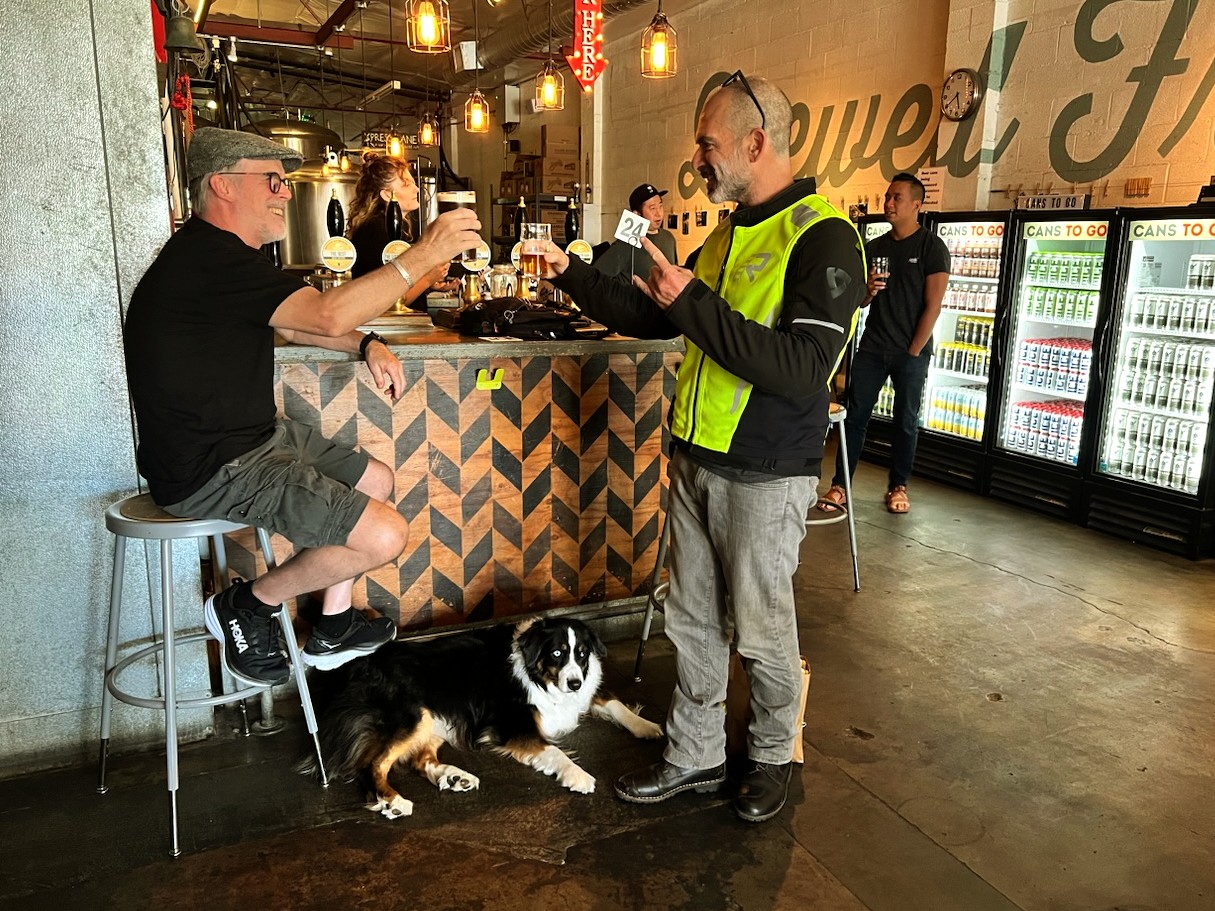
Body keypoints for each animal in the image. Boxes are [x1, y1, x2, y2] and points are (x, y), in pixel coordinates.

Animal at [297, 617, 665, 819]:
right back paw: (392, 801)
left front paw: (648, 727)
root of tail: (348, 674)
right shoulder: (513, 726)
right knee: (370, 764)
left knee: (419, 759)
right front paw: (579, 776)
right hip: (412, 715)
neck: (535, 671)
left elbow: (615, 703)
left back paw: (453, 777)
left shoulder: (583, 694)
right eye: (557, 653)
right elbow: (555, 751)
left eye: (582, 654)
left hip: (435, 718)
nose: (574, 682)